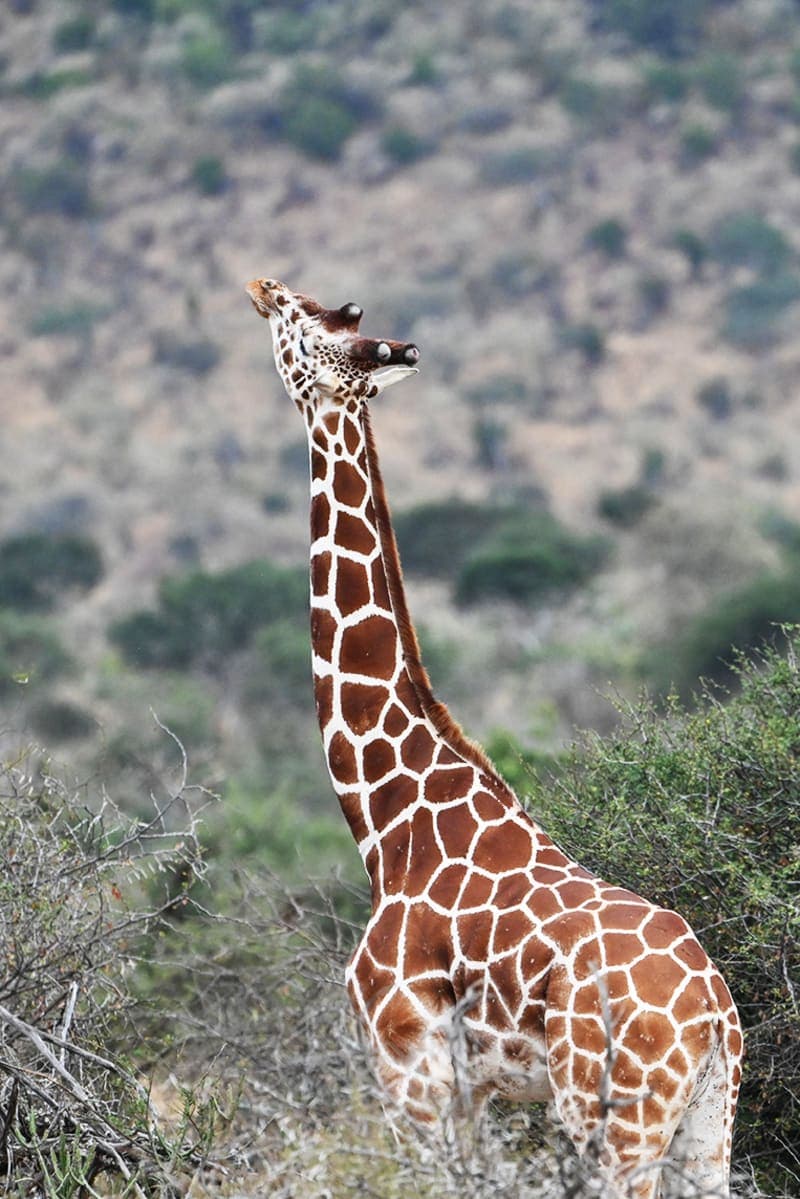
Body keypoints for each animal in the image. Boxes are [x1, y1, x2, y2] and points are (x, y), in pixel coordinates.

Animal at [245, 277, 743, 1199]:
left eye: (307, 319)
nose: (259, 285)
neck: (390, 824)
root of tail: (715, 1013)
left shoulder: (409, 1068)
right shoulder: (474, 1090)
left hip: (615, 1121)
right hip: (707, 1124)